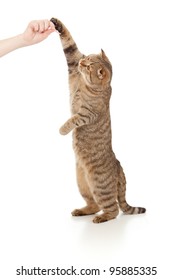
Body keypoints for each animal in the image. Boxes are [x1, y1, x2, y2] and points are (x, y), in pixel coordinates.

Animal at [50, 17, 145, 223]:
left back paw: (102, 218)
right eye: (86, 58)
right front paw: (56, 23)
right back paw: (82, 211)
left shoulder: (87, 114)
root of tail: (119, 167)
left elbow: (72, 120)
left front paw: (62, 129)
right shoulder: (72, 63)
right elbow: (69, 43)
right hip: (82, 183)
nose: (82, 61)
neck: (87, 85)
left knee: (113, 209)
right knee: (93, 205)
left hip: (100, 187)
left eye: (88, 65)